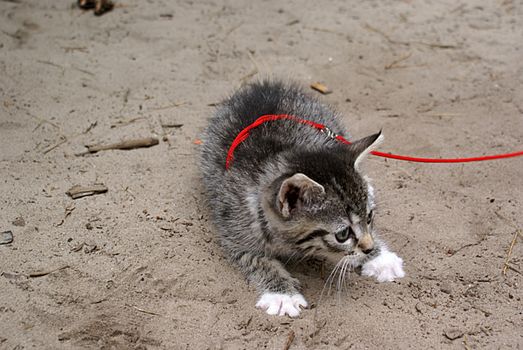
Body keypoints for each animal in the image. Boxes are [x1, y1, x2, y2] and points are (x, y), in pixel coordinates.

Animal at [201, 80, 406, 318]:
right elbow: (258, 260)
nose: (369, 249)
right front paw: (282, 295)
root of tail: (263, 86)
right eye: (343, 234)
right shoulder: (235, 230)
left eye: (370, 217)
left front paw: (379, 257)